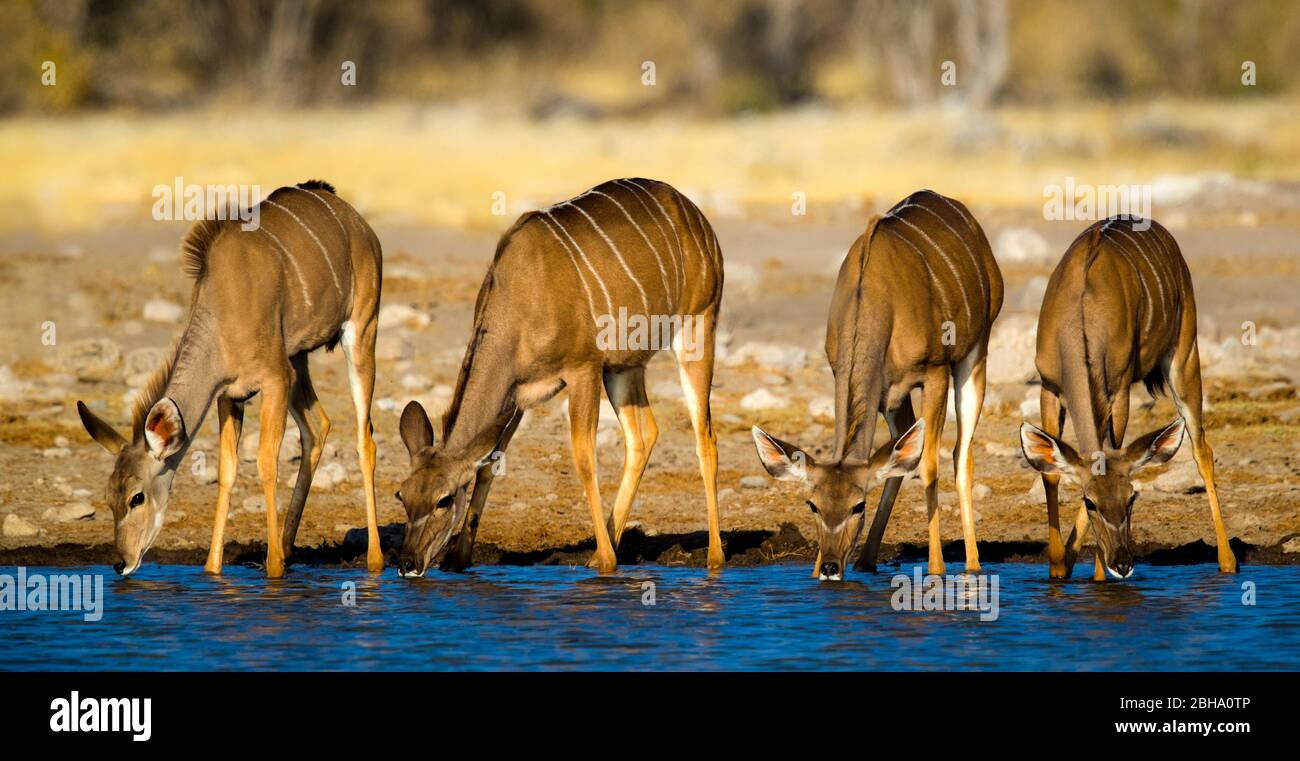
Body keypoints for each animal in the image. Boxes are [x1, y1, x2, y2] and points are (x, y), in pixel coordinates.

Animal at [73, 180, 382, 577]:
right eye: (108, 496)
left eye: (136, 497)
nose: (120, 563)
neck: (223, 313)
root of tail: (355, 220)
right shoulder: (230, 395)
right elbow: (228, 471)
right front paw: (214, 568)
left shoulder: (274, 378)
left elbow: (266, 463)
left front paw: (273, 567)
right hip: (298, 359)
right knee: (318, 425)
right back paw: (288, 547)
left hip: (360, 331)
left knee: (364, 439)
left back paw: (373, 560)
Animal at [390, 176, 728, 574]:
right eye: (402, 494)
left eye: (443, 499)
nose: (407, 562)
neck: (520, 301)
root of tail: (695, 216)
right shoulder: (518, 395)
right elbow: (490, 463)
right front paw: (459, 559)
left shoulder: (582, 370)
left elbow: (584, 459)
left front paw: (607, 563)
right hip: (624, 367)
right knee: (644, 436)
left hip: (696, 329)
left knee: (705, 437)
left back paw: (714, 557)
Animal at [754, 191, 1003, 582]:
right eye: (813, 505)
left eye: (858, 506)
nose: (830, 567)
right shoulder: (853, 378)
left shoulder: (934, 372)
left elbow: (928, 465)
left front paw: (936, 568)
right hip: (894, 399)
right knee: (901, 452)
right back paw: (866, 561)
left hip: (975, 353)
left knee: (960, 454)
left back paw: (973, 564)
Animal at [1013, 217, 1237, 577]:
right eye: (1089, 501)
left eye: (1132, 497)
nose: (1122, 562)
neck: (1080, 316)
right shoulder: (1049, 387)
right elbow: (1051, 471)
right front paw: (1060, 568)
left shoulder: (1116, 391)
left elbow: (1111, 450)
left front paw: (1097, 577)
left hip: (1184, 356)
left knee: (1202, 448)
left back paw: (1228, 562)